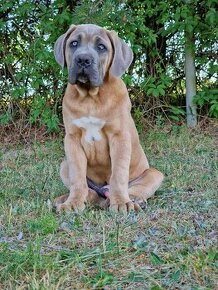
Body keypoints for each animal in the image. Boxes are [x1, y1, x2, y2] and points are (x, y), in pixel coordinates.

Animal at [52, 23, 164, 213]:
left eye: (101, 47)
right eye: (74, 43)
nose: (83, 60)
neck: (90, 97)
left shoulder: (119, 137)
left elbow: (118, 174)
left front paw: (121, 203)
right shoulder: (72, 139)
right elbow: (77, 178)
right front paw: (73, 203)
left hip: (154, 174)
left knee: (132, 188)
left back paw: (134, 200)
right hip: (63, 165)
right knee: (90, 192)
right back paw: (63, 199)